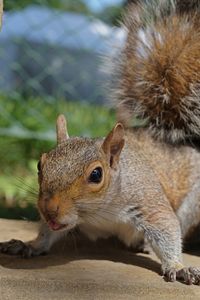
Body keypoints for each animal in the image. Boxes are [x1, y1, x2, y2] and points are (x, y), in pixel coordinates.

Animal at [1, 0, 200, 286]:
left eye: (96, 174)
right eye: (40, 165)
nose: (49, 210)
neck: (98, 214)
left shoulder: (147, 200)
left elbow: (167, 227)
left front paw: (178, 266)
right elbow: (48, 234)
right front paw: (30, 245)